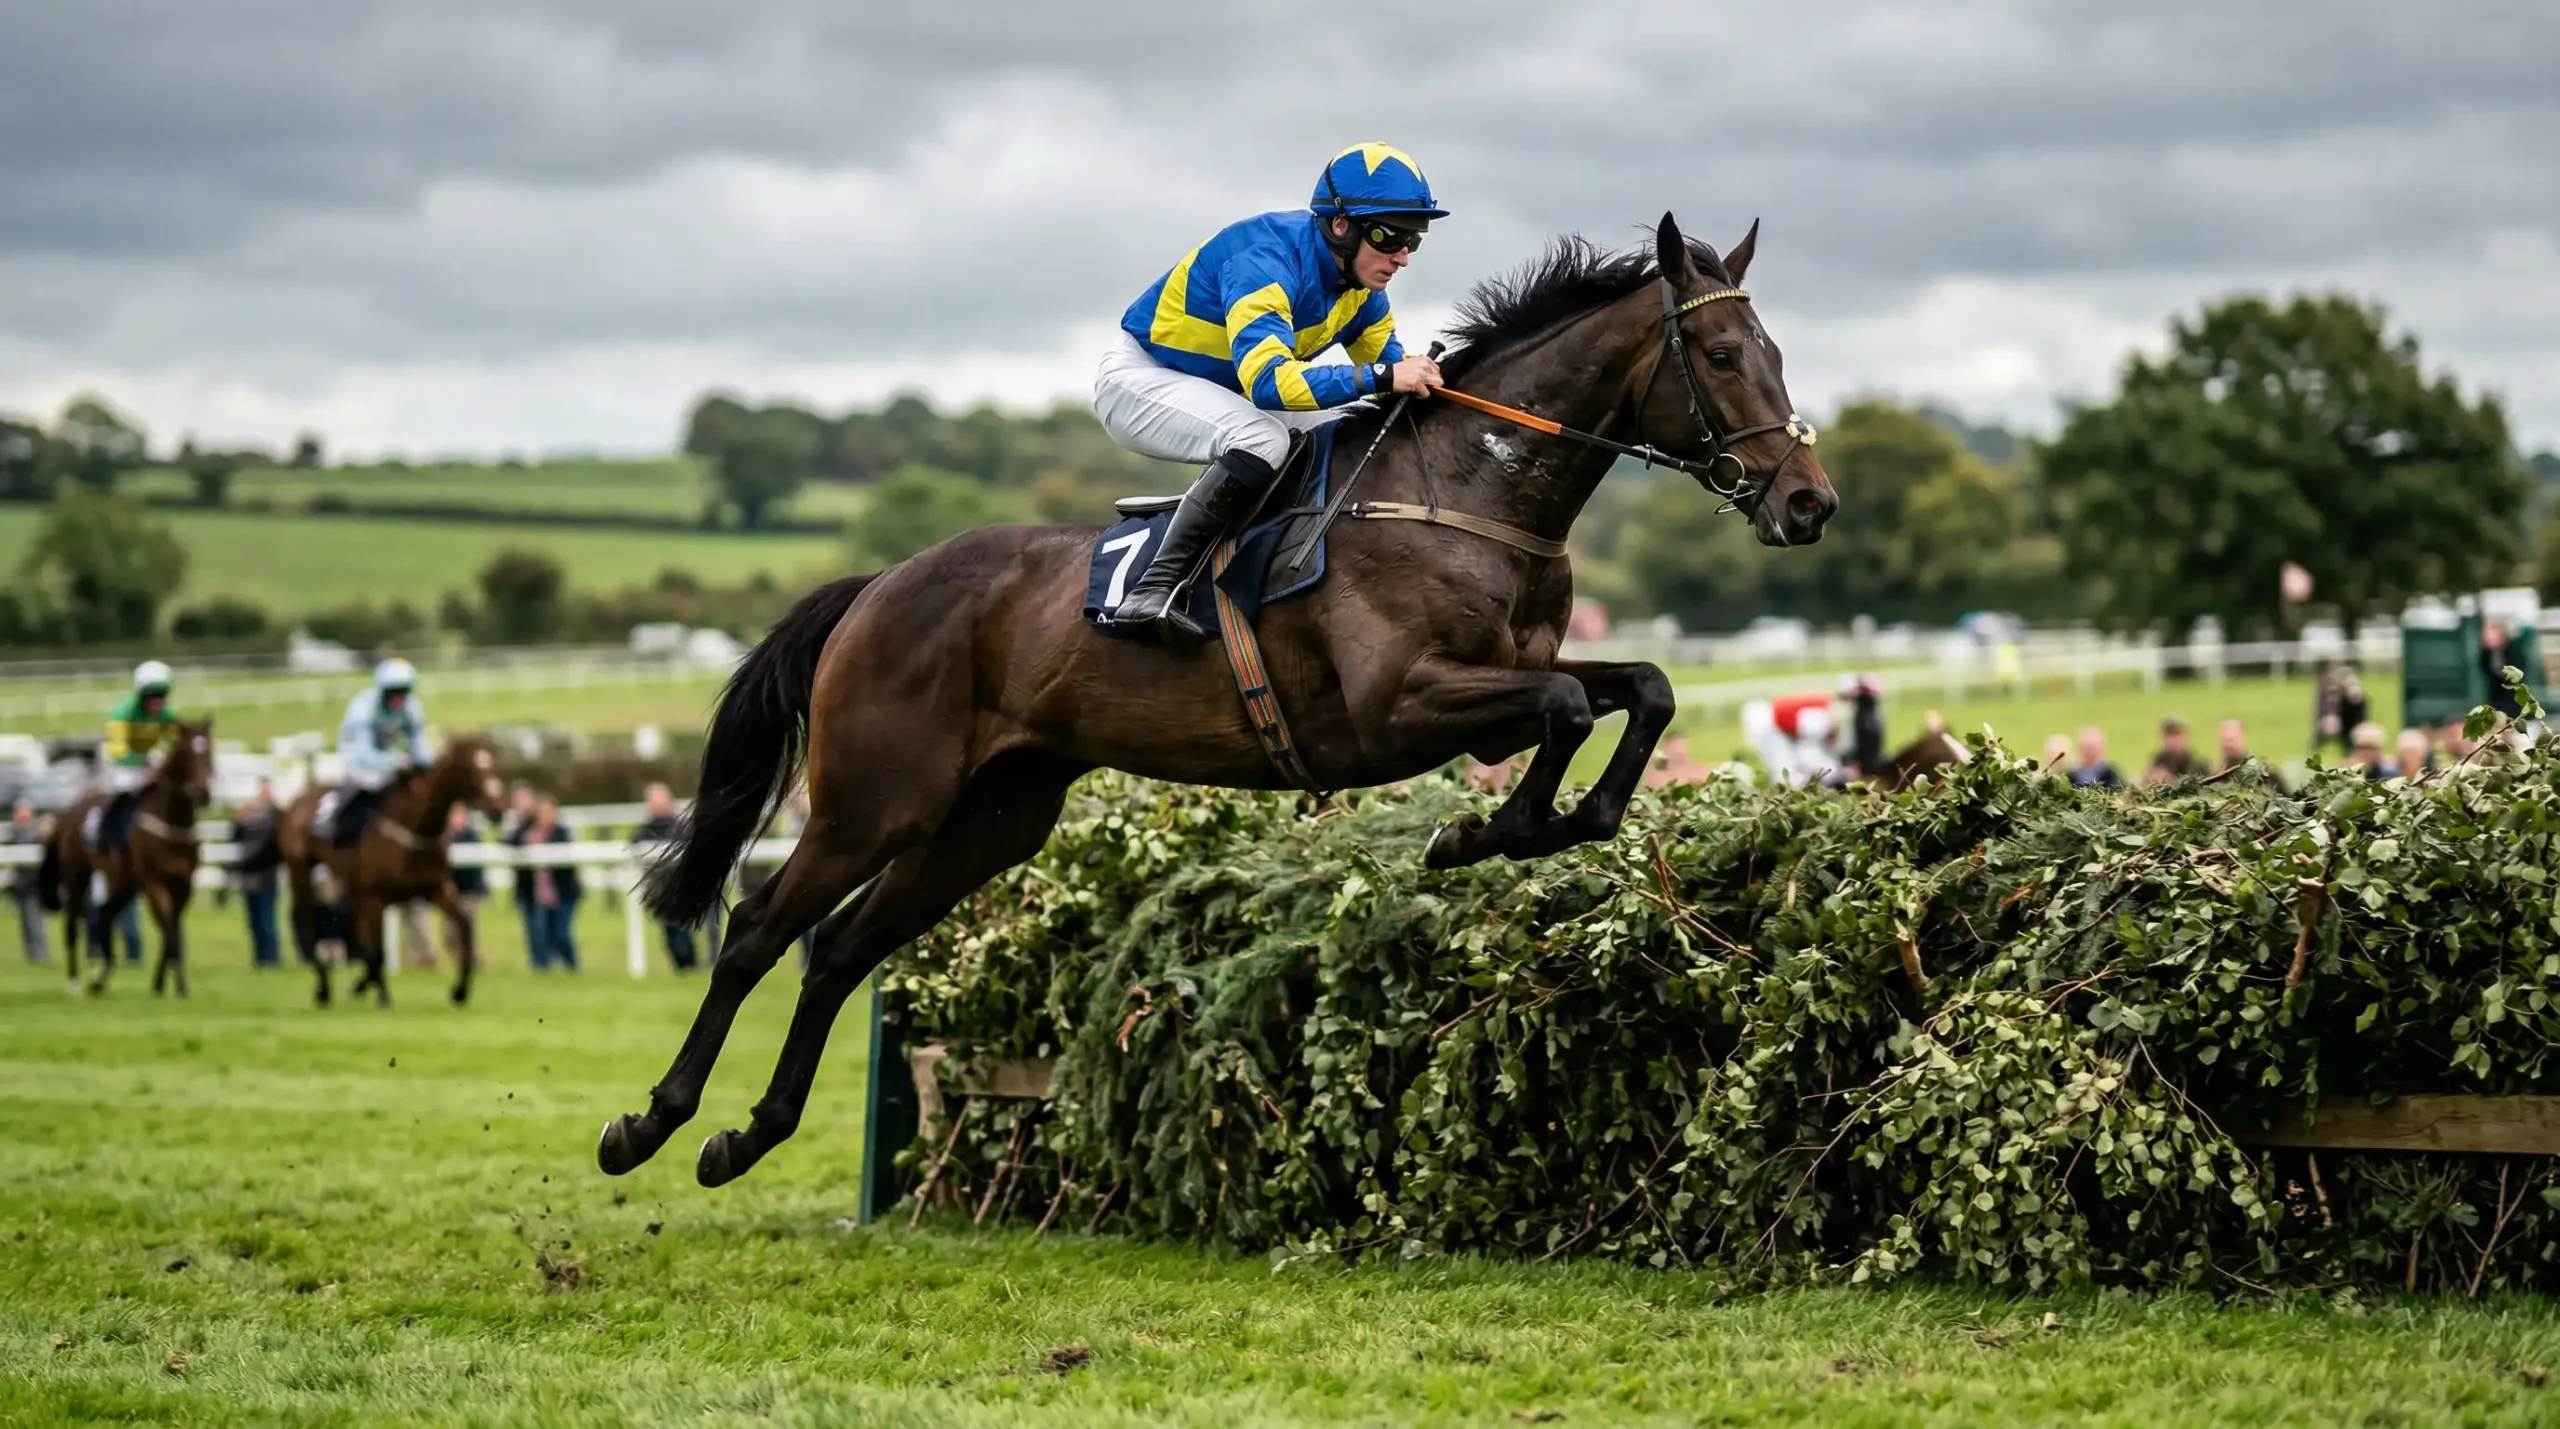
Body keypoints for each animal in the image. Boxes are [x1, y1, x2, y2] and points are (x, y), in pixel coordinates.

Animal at [39, 720, 216, 997]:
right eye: (185, 752)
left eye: (208, 750)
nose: (203, 793)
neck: (172, 823)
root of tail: (66, 812)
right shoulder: (154, 882)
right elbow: (169, 929)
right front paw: (178, 986)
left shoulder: (184, 885)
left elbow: (171, 930)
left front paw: (160, 984)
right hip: (77, 874)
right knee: (71, 924)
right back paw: (74, 982)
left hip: (124, 882)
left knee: (104, 914)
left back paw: (99, 978)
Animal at [270, 736, 505, 1008]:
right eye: (469, 769)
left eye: (492, 766)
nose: (498, 809)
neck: (415, 828)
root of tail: (296, 799)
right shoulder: (376, 897)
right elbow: (378, 950)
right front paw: (383, 995)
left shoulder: (436, 888)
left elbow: (465, 926)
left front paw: (460, 990)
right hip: (300, 869)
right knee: (307, 926)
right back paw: (324, 989)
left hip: (350, 884)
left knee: (353, 928)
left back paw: (357, 984)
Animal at [599, 213, 1840, 1189]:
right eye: (1721, 353)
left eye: (1777, 352)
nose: (1809, 503)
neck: (1470, 495)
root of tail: (876, 586)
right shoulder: (1397, 707)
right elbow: (1569, 712)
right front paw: (1488, 828)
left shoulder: (1513, 672)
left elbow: (1640, 690)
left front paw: (1540, 822)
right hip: (877, 799)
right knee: (760, 928)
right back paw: (653, 1122)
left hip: (991, 817)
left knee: (841, 949)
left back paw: (748, 1134)